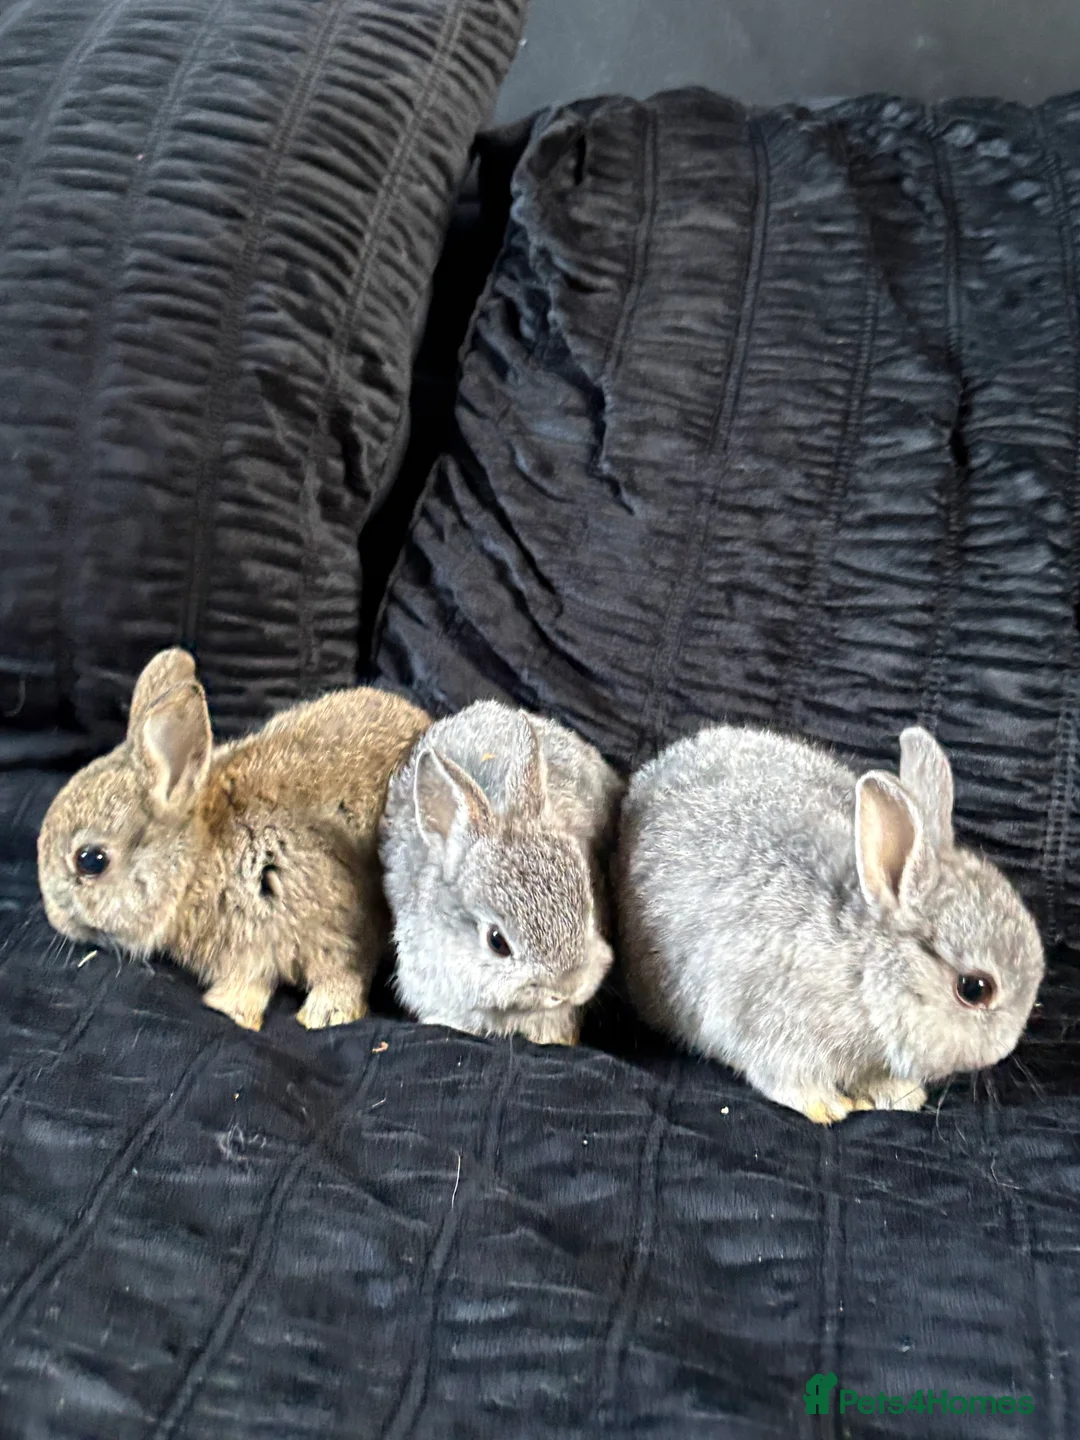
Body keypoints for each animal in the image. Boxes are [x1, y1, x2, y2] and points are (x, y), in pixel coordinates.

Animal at [38, 648, 431, 1031]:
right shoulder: (247, 952)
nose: (54, 918)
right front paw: (231, 1008)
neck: (194, 866)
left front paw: (326, 1015)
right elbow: (248, 980)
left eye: (91, 860)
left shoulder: (334, 916)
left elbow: (342, 972)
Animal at [617, 724, 1045, 1124]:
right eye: (974, 989)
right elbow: (785, 1078)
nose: (1006, 1047)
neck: (865, 968)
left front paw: (899, 1094)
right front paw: (829, 1107)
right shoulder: (767, 1026)